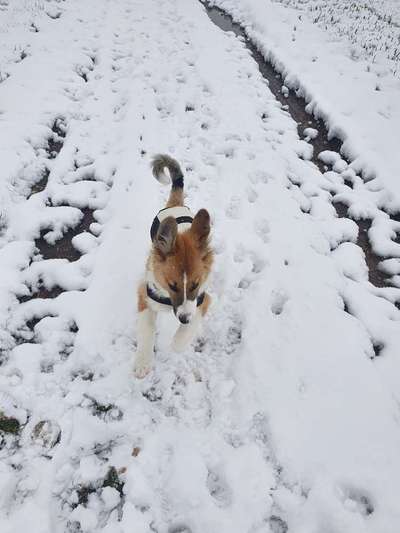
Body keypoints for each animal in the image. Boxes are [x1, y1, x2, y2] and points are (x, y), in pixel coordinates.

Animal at [134, 154, 212, 378]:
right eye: (172, 285)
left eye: (195, 284)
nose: (183, 319)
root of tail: (176, 205)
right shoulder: (145, 296)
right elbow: (146, 330)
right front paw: (143, 362)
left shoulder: (203, 300)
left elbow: (185, 334)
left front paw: (177, 343)